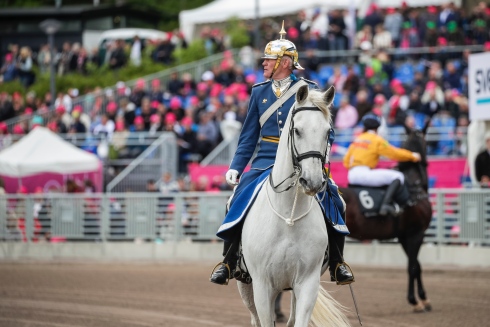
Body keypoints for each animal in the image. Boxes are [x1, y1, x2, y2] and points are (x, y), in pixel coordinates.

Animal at [235, 86, 350, 326]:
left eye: (328, 132)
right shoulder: (262, 285)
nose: (313, 181)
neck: (288, 214)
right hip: (245, 284)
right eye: (297, 130)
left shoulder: (307, 282)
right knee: (254, 318)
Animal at [340, 125, 432, 312]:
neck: (414, 188)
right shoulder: (416, 233)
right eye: (426, 143)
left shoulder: (404, 236)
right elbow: (412, 267)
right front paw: (415, 301)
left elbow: (417, 266)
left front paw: (423, 299)